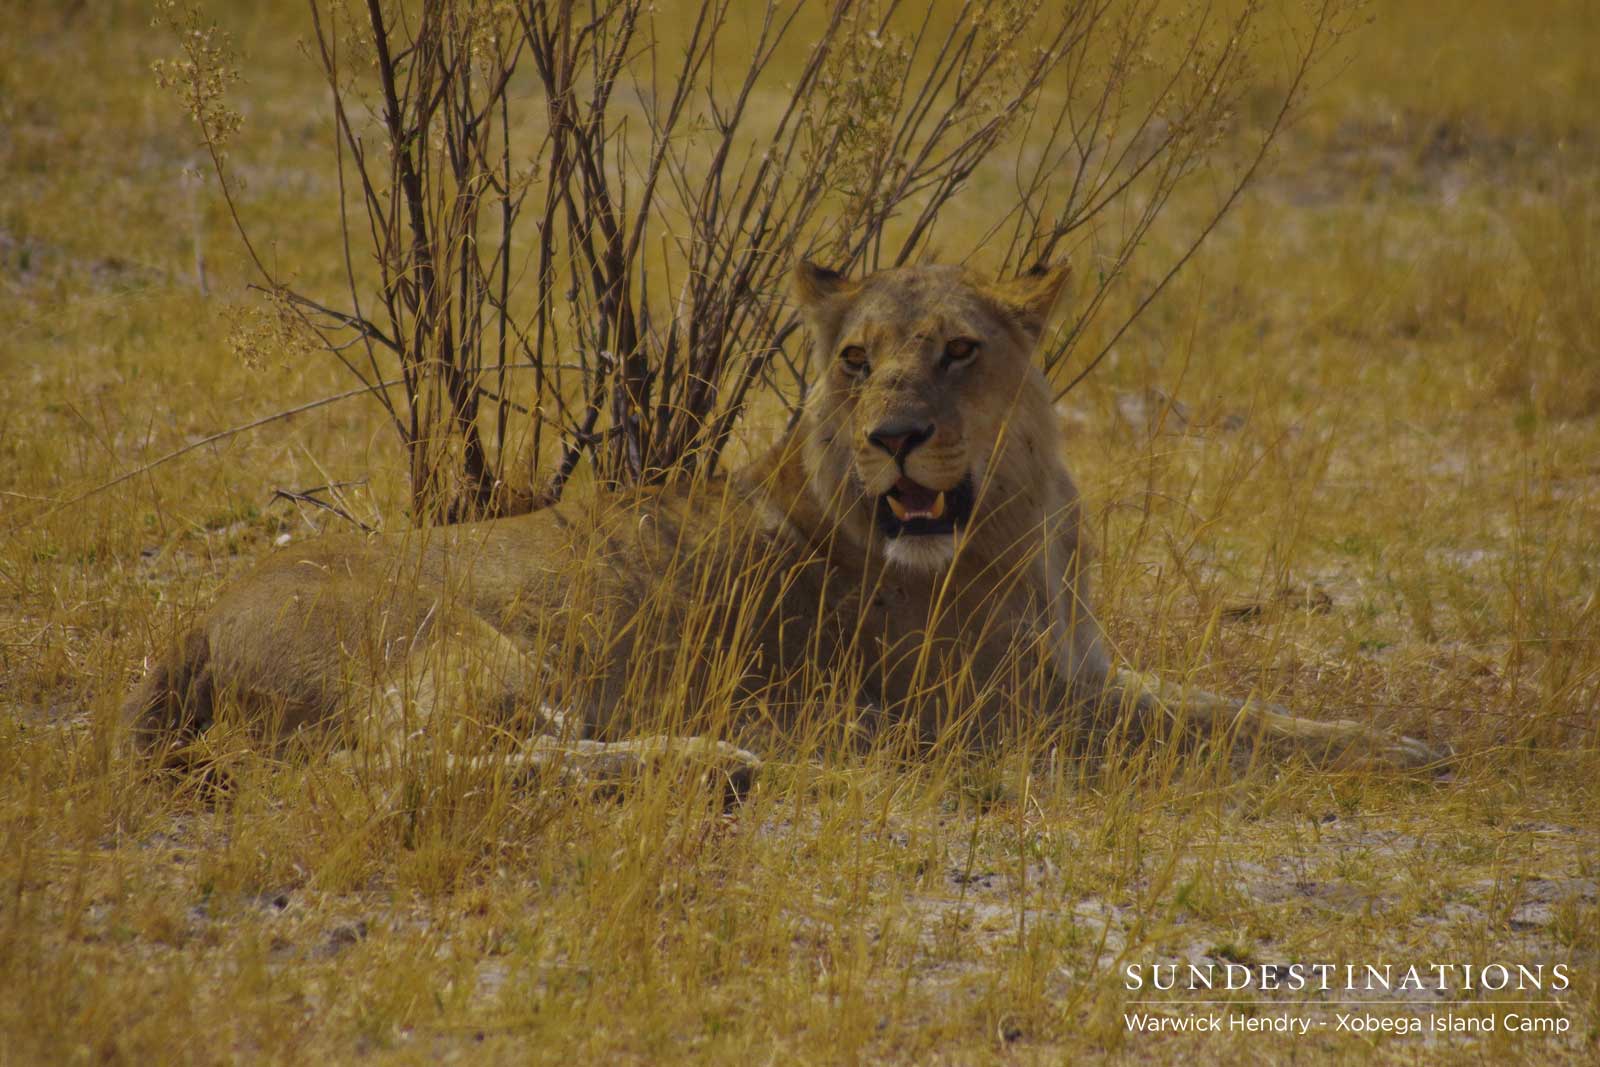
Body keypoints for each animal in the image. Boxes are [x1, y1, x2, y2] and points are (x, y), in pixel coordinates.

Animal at [121, 259, 1440, 793]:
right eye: (855, 359)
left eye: (959, 351)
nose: (895, 435)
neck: (1024, 527)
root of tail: (193, 616)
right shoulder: (1006, 719)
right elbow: (1212, 738)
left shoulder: (1084, 673)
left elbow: (1242, 710)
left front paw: (1395, 742)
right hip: (475, 651)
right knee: (388, 765)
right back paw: (716, 764)